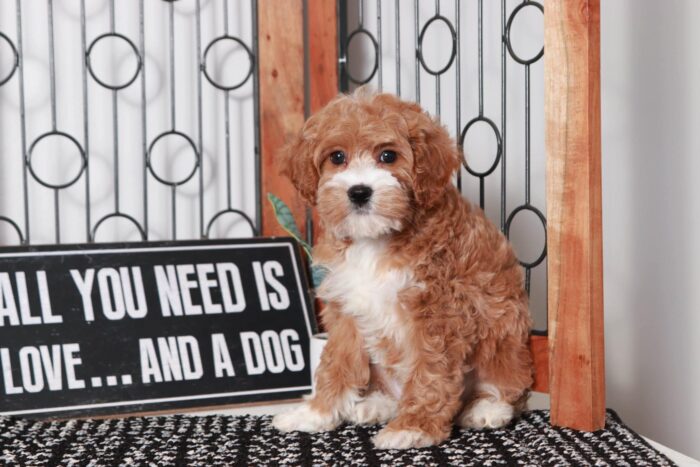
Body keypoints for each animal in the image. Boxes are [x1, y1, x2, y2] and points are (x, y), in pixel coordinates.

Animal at [270, 89, 532, 452]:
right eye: (337, 157)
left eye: (388, 156)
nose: (359, 191)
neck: (377, 238)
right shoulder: (346, 307)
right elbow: (335, 362)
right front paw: (315, 413)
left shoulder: (438, 312)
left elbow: (430, 372)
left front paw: (413, 428)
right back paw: (375, 404)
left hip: (505, 332)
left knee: (509, 383)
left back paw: (487, 407)